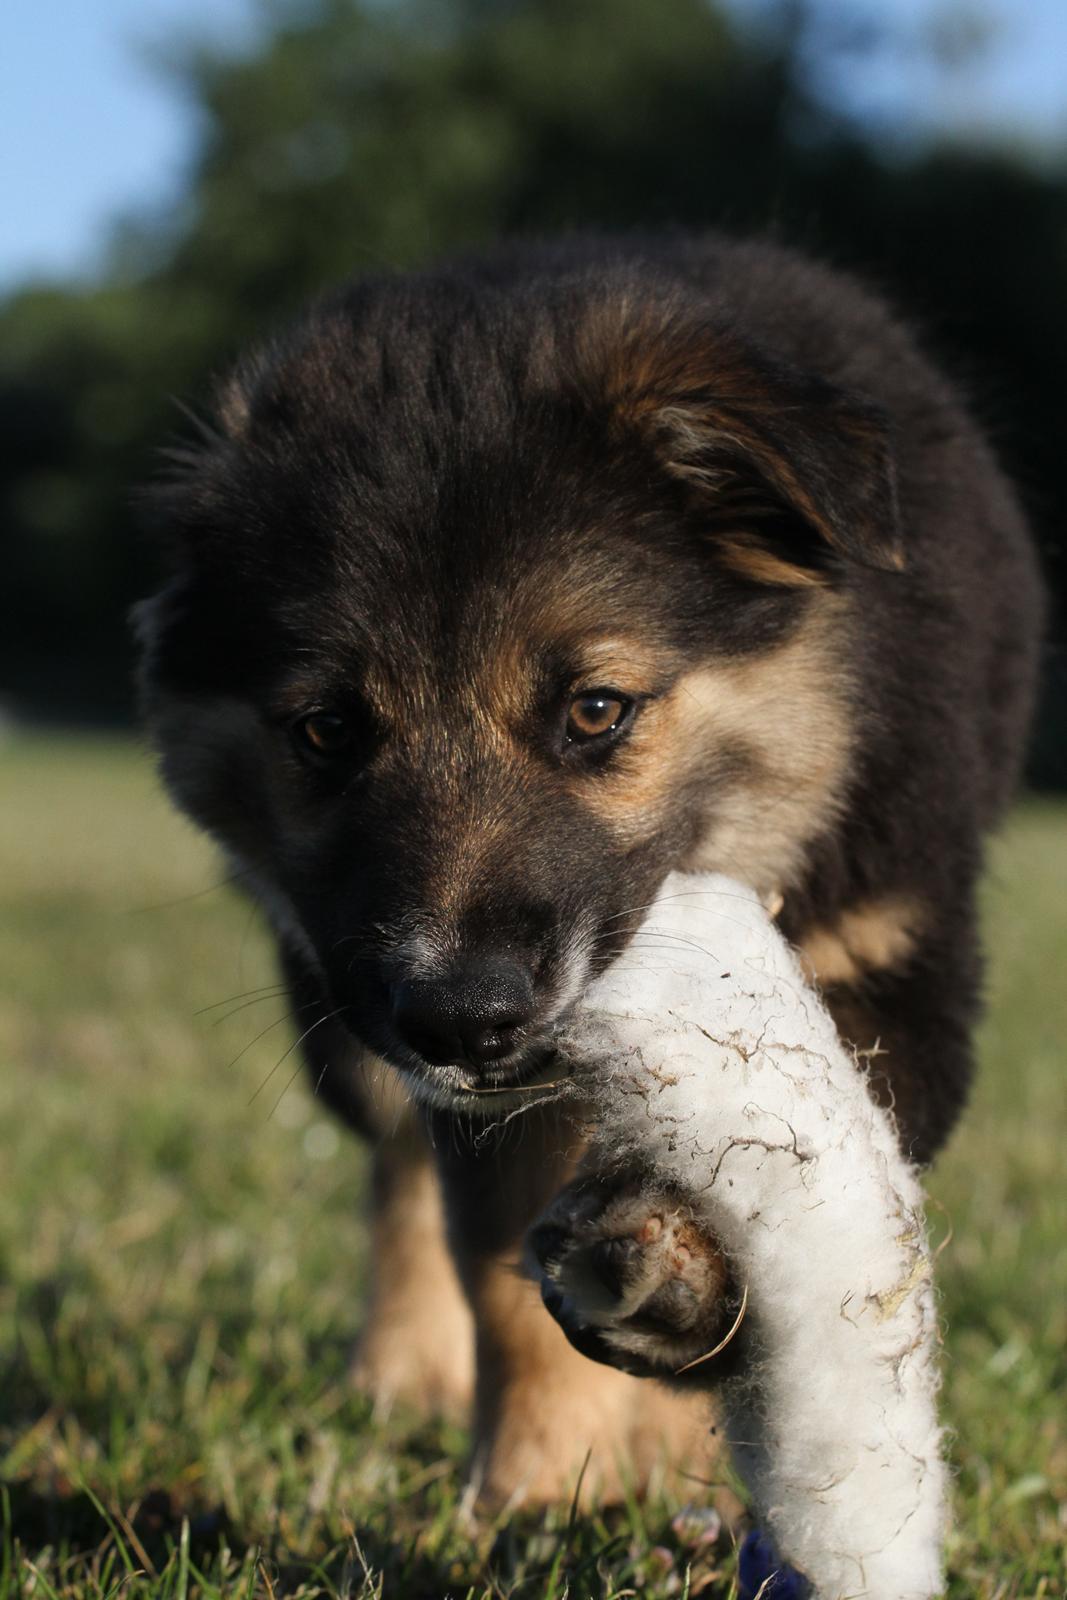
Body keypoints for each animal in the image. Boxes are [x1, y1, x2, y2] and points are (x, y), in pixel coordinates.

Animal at [135, 232, 1043, 1504]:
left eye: (596, 710)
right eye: (325, 730)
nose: (462, 1022)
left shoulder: (892, 952)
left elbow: (789, 1157)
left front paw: (671, 1287)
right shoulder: (449, 1067)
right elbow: (497, 1274)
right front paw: (530, 1485)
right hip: (335, 1013)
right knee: (397, 1171)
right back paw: (404, 1372)